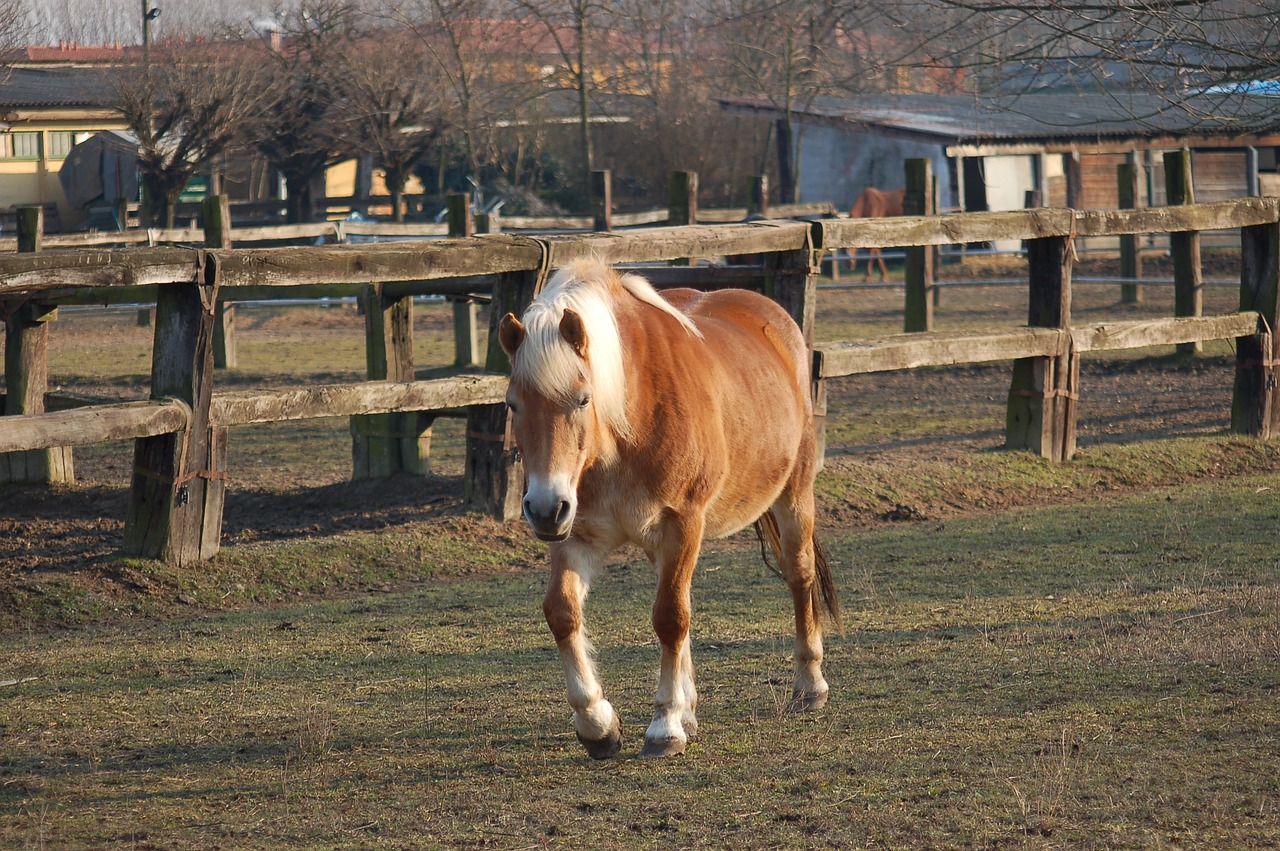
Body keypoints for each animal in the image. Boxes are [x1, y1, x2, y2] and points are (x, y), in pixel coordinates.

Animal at [499, 257, 839, 757]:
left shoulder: (682, 523)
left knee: (798, 576)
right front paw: (598, 723)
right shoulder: (578, 531)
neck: (627, 422)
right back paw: (689, 706)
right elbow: (563, 612)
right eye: (513, 404)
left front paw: (664, 726)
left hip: (792, 497)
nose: (543, 509)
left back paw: (809, 685)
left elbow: (670, 617)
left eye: (583, 399)